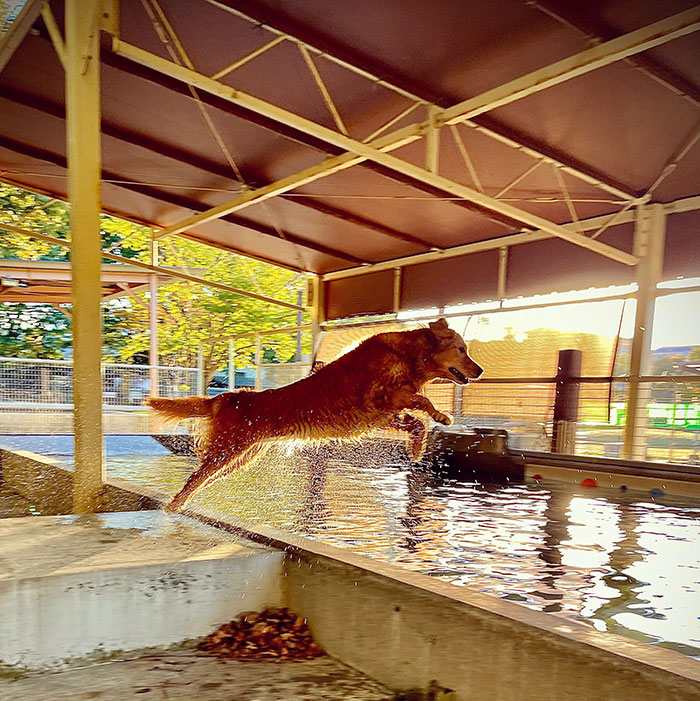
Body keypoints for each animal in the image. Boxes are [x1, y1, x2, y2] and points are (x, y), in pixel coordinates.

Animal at [150, 318, 484, 508]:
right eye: (462, 349)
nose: (480, 370)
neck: (409, 354)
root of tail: (232, 396)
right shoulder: (380, 396)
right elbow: (421, 401)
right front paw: (442, 416)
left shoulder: (383, 414)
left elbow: (416, 422)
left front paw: (417, 447)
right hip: (227, 451)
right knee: (194, 478)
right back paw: (174, 506)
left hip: (240, 457)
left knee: (202, 478)